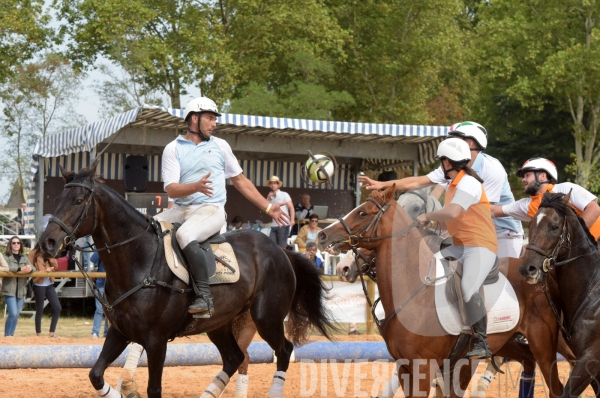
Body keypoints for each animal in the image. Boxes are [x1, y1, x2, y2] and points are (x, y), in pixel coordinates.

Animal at [39, 165, 336, 398]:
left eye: (78, 200)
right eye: (57, 199)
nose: (47, 243)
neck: (138, 260)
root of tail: (282, 250)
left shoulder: (156, 340)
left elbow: (154, 389)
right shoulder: (120, 332)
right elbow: (96, 374)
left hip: (266, 318)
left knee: (283, 351)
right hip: (220, 324)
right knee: (235, 357)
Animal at [316, 187, 568, 398]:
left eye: (362, 213)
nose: (322, 235)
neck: (414, 291)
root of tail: (542, 271)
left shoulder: (424, 370)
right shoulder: (406, 368)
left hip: (544, 345)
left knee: (556, 385)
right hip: (507, 340)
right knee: (528, 361)